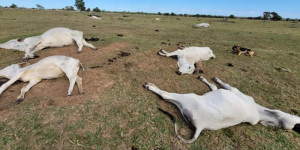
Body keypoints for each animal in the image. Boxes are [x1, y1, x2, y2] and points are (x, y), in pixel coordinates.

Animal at [143, 77, 300, 144]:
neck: (258, 111)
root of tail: (201, 126)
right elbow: (213, 86)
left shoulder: (233, 90)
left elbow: (221, 84)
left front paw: (213, 78)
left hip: (188, 98)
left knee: (166, 95)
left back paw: (150, 86)